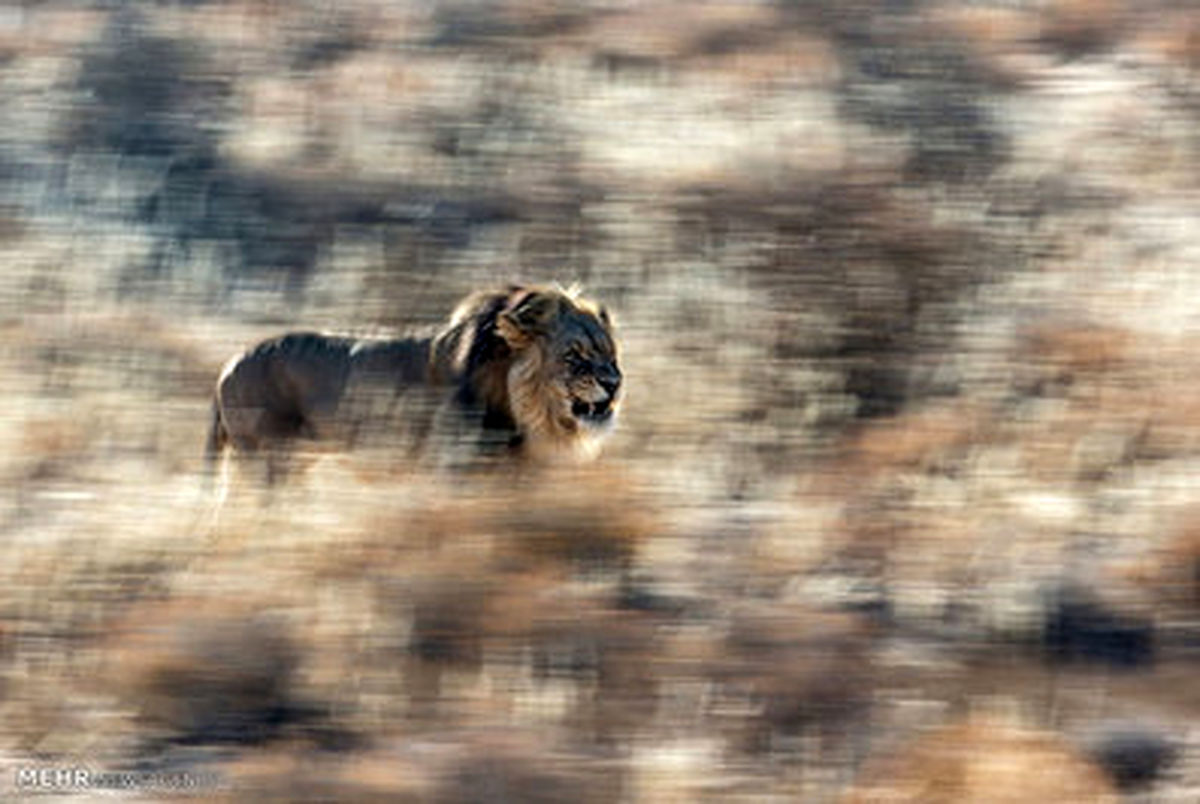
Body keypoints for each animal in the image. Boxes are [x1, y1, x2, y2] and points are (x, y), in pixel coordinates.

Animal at [205, 283, 624, 484]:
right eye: (574, 355)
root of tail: (227, 366)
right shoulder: (454, 468)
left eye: (610, 354)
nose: (615, 383)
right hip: (270, 459)